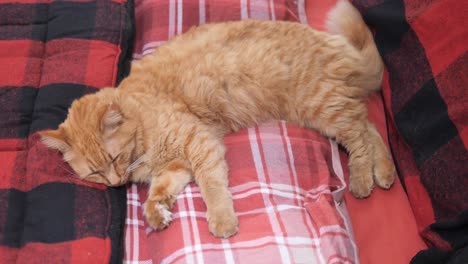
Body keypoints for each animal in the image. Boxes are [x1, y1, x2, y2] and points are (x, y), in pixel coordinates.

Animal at [39, 0, 394, 238]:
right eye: (95, 173)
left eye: (113, 159)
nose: (115, 184)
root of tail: (333, 43)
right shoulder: (176, 166)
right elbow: (160, 191)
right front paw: (156, 211)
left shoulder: (199, 144)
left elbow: (212, 186)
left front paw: (222, 220)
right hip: (322, 111)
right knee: (370, 127)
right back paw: (385, 172)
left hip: (321, 107)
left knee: (361, 136)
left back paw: (363, 179)